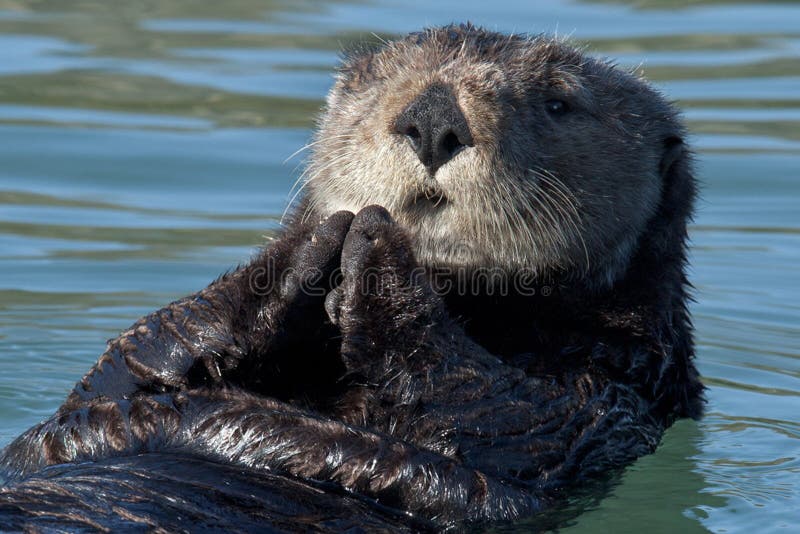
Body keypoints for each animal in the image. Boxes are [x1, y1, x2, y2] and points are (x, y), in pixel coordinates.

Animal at [0, 25, 700, 532]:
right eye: (379, 83)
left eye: (559, 102)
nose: (432, 117)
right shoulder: (98, 398)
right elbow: (131, 359)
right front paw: (311, 239)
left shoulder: (608, 397)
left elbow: (499, 411)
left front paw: (378, 251)